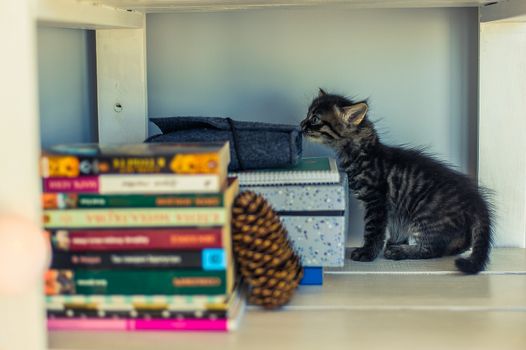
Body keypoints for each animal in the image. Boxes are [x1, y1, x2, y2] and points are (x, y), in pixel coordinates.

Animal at [304, 88, 492, 274]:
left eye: (314, 119)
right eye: (307, 114)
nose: (301, 125)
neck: (363, 153)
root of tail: (475, 199)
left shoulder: (376, 201)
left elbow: (373, 230)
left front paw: (368, 253)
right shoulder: (394, 211)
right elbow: (395, 229)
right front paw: (393, 243)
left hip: (425, 216)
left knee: (431, 249)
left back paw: (399, 252)